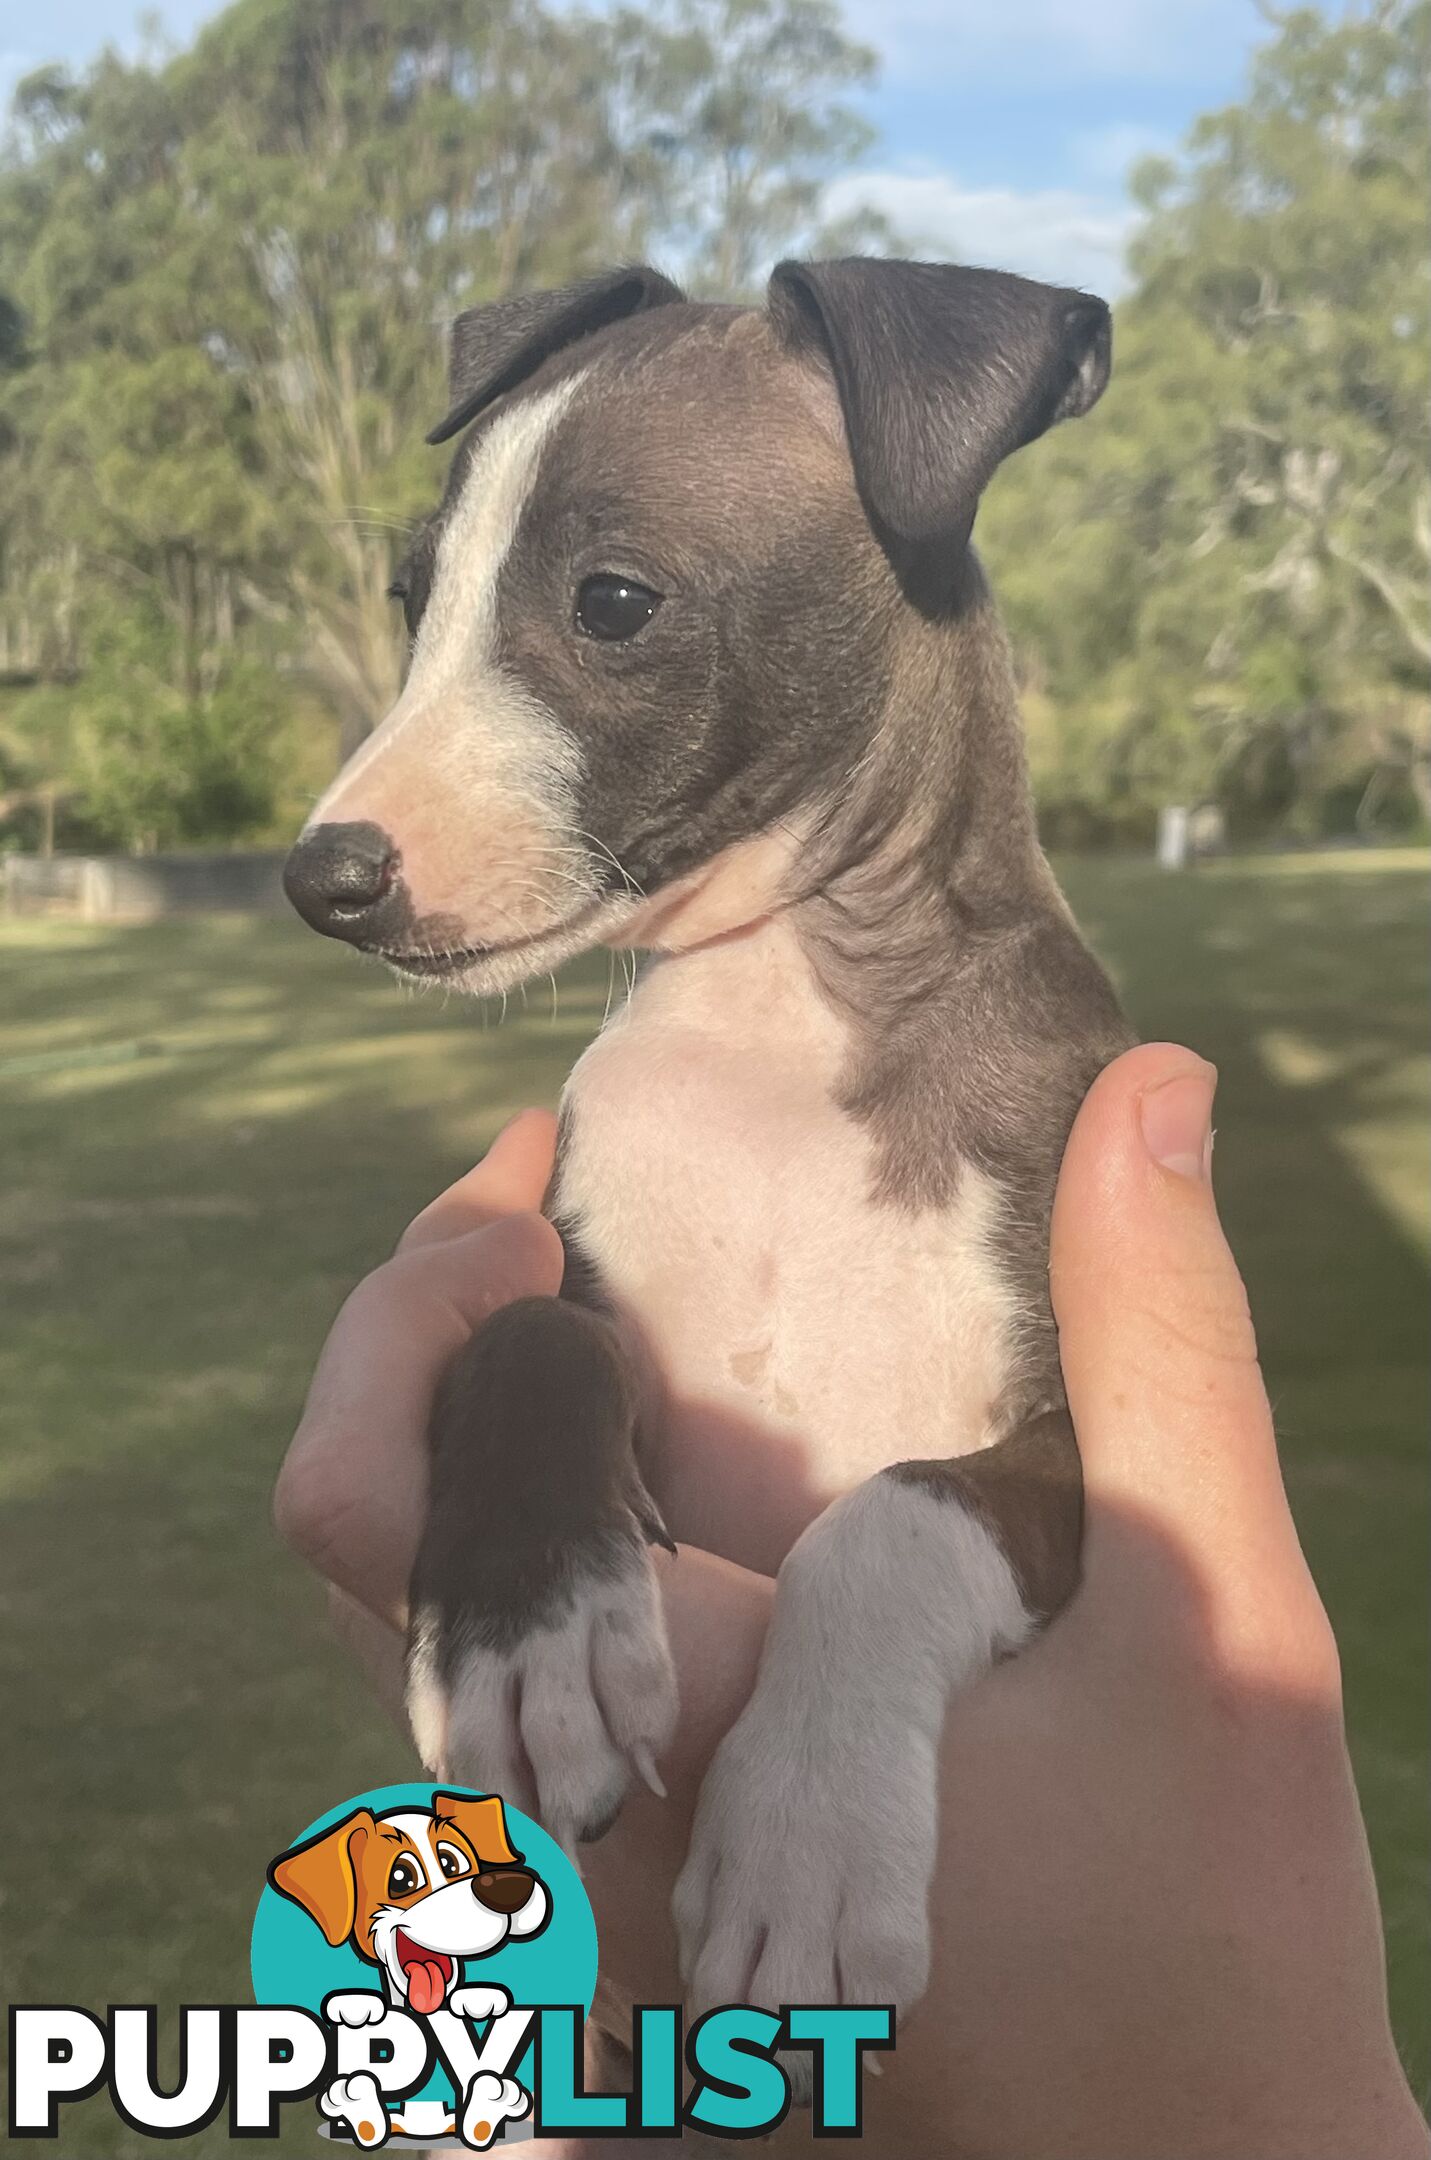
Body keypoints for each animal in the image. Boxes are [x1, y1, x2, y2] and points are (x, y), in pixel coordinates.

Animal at [283, 257, 1132, 2090]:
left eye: (611, 601)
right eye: (411, 593)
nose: (322, 877)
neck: (779, 1040)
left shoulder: (1080, 1457)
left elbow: (897, 1507)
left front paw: (805, 1840)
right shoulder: (587, 1280)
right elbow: (525, 1333)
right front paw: (530, 1638)